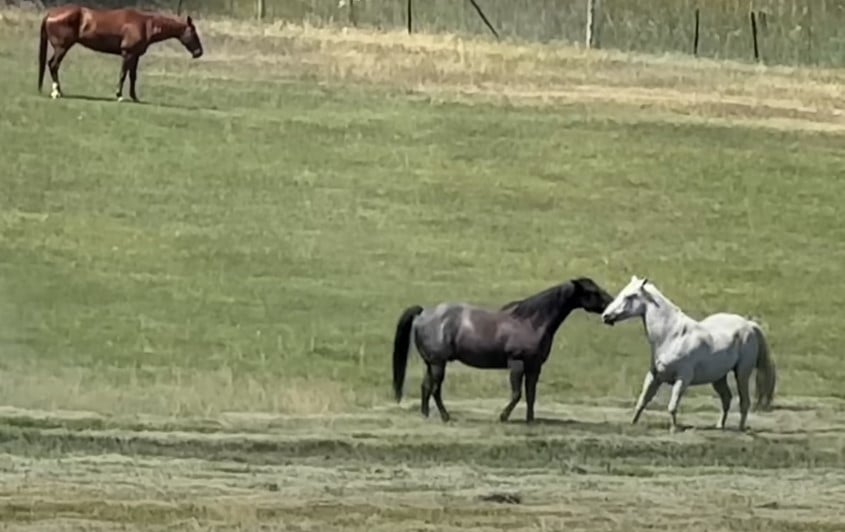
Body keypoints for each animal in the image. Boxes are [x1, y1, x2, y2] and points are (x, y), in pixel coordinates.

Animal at [38, 4, 203, 102]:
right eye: (194, 33)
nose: (199, 52)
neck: (145, 25)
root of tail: (50, 13)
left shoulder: (135, 56)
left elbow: (133, 77)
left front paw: (134, 97)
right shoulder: (127, 54)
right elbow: (123, 75)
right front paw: (119, 95)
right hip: (62, 47)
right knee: (53, 65)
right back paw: (56, 93)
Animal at [390, 278, 612, 424]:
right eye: (593, 291)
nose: (611, 307)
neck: (531, 321)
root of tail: (424, 313)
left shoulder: (534, 366)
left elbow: (531, 394)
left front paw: (530, 420)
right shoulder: (517, 363)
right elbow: (517, 394)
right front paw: (503, 417)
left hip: (432, 364)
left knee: (425, 387)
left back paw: (425, 415)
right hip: (438, 364)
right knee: (435, 389)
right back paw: (445, 416)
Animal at [596, 276, 776, 430]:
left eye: (630, 296)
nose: (606, 316)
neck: (672, 336)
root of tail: (749, 324)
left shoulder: (683, 378)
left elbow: (672, 406)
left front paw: (674, 429)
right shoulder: (655, 376)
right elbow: (642, 401)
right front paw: (632, 424)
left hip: (742, 373)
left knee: (744, 402)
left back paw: (740, 428)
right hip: (718, 378)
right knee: (727, 399)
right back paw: (719, 426)